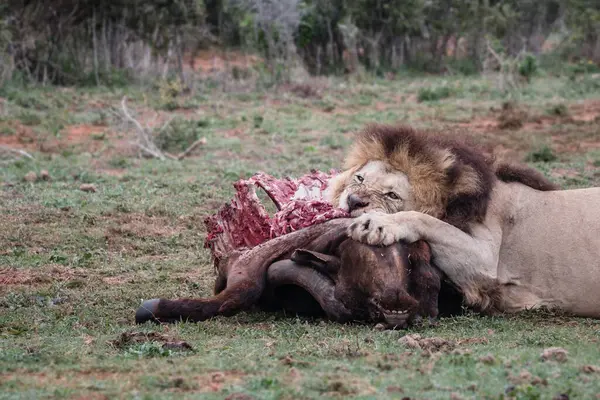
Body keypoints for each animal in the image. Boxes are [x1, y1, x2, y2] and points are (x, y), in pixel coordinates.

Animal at [326, 123, 600, 318]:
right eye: (360, 178)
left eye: (392, 195)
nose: (353, 201)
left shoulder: (487, 260)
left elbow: (427, 220)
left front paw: (377, 224)